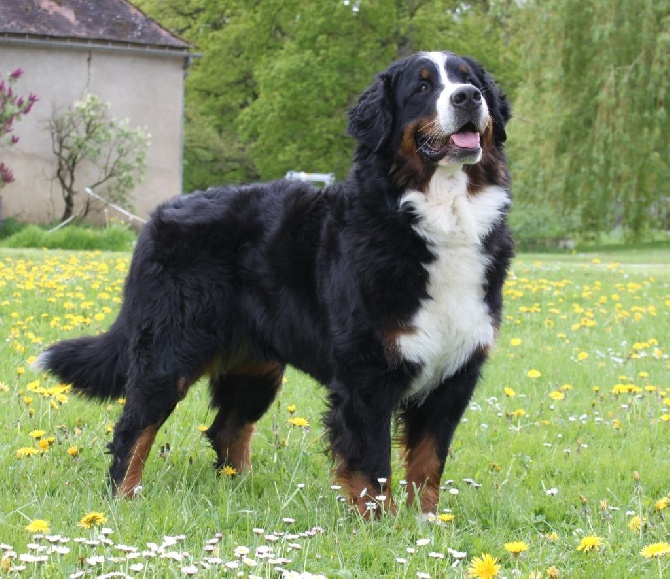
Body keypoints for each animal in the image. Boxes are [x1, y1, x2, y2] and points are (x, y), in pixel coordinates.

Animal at [38, 52, 516, 520]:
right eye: (422, 87)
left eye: (470, 80)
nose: (468, 97)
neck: (441, 217)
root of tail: (158, 216)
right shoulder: (366, 371)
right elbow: (372, 463)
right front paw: (378, 526)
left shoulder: (454, 372)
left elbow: (428, 460)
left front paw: (425, 524)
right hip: (169, 350)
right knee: (134, 428)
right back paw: (123, 500)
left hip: (255, 365)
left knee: (227, 429)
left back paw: (242, 493)